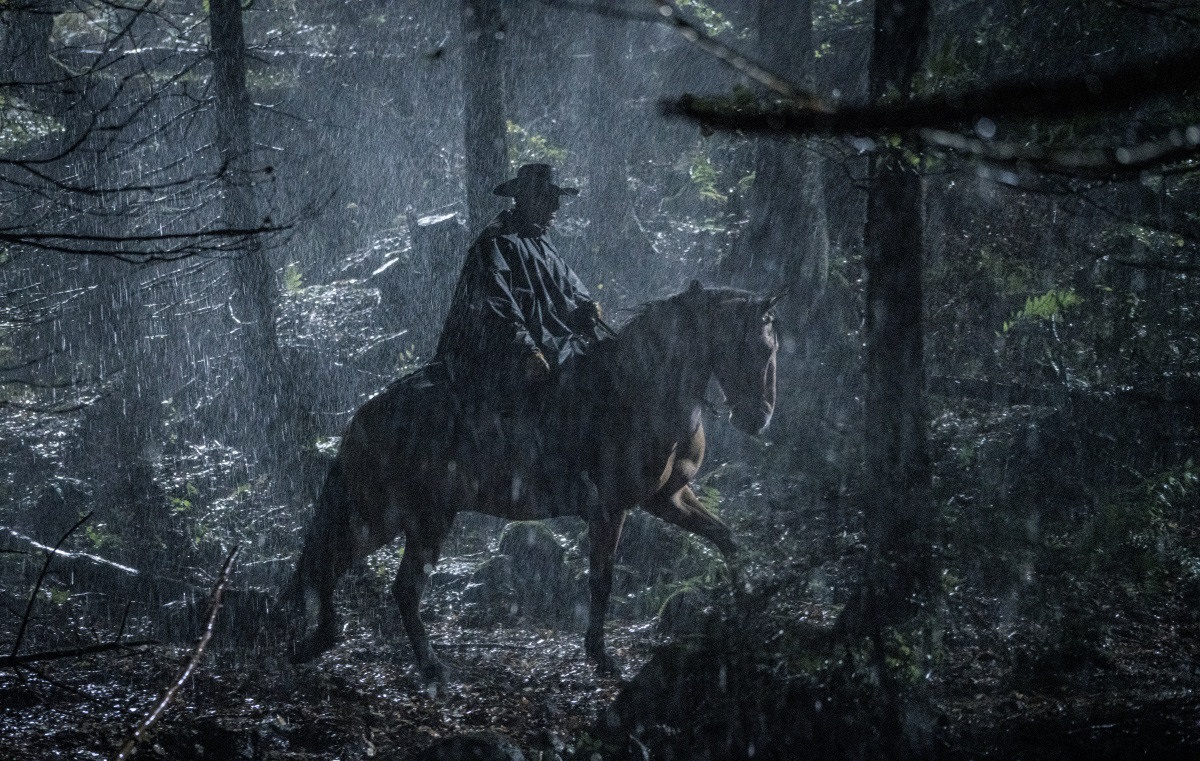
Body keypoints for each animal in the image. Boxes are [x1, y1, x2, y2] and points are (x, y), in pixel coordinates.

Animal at [279, 281, 779, 679]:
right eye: (760, 348)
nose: (759, 420)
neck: (642, 389)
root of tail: (365, 413)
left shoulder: (667, 498)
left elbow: (725, 536)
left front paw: (749, 602)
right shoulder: (610, 509)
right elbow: (602, 580)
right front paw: (601, 657)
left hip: (410, 518)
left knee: (359, 572)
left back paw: (351, 647)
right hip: (398, 515)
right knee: (349, 567)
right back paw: (410, 661)